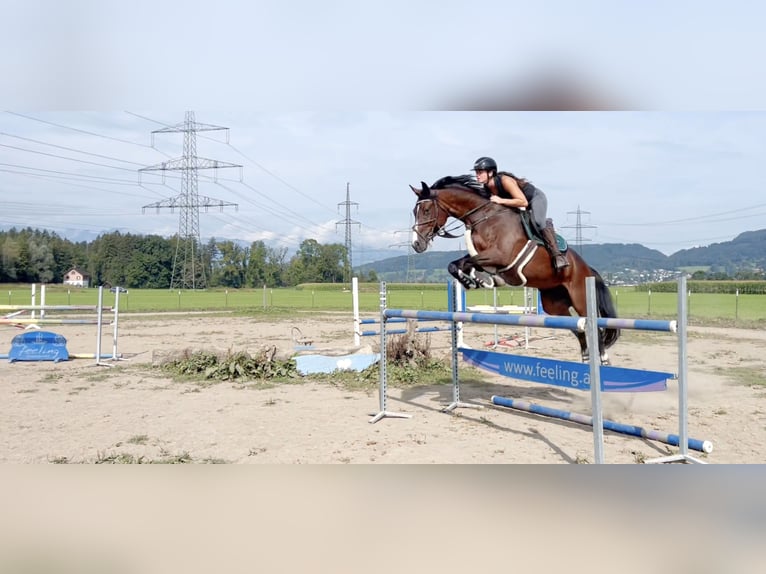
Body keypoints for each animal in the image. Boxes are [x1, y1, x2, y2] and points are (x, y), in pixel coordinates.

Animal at [412, 176, 620, 364]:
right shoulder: (483, 255)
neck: (483, 217)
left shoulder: (500, 255)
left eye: (426, 210)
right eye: (415, 211)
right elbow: (456, 264)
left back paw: (603, 358)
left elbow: (469, 262)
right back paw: (585, 357)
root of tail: (587, 268)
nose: (416, 244)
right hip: (554, 305)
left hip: (580, 298)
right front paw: (474, 280)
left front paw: (480, 279)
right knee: (578, 327)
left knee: (593, 326)